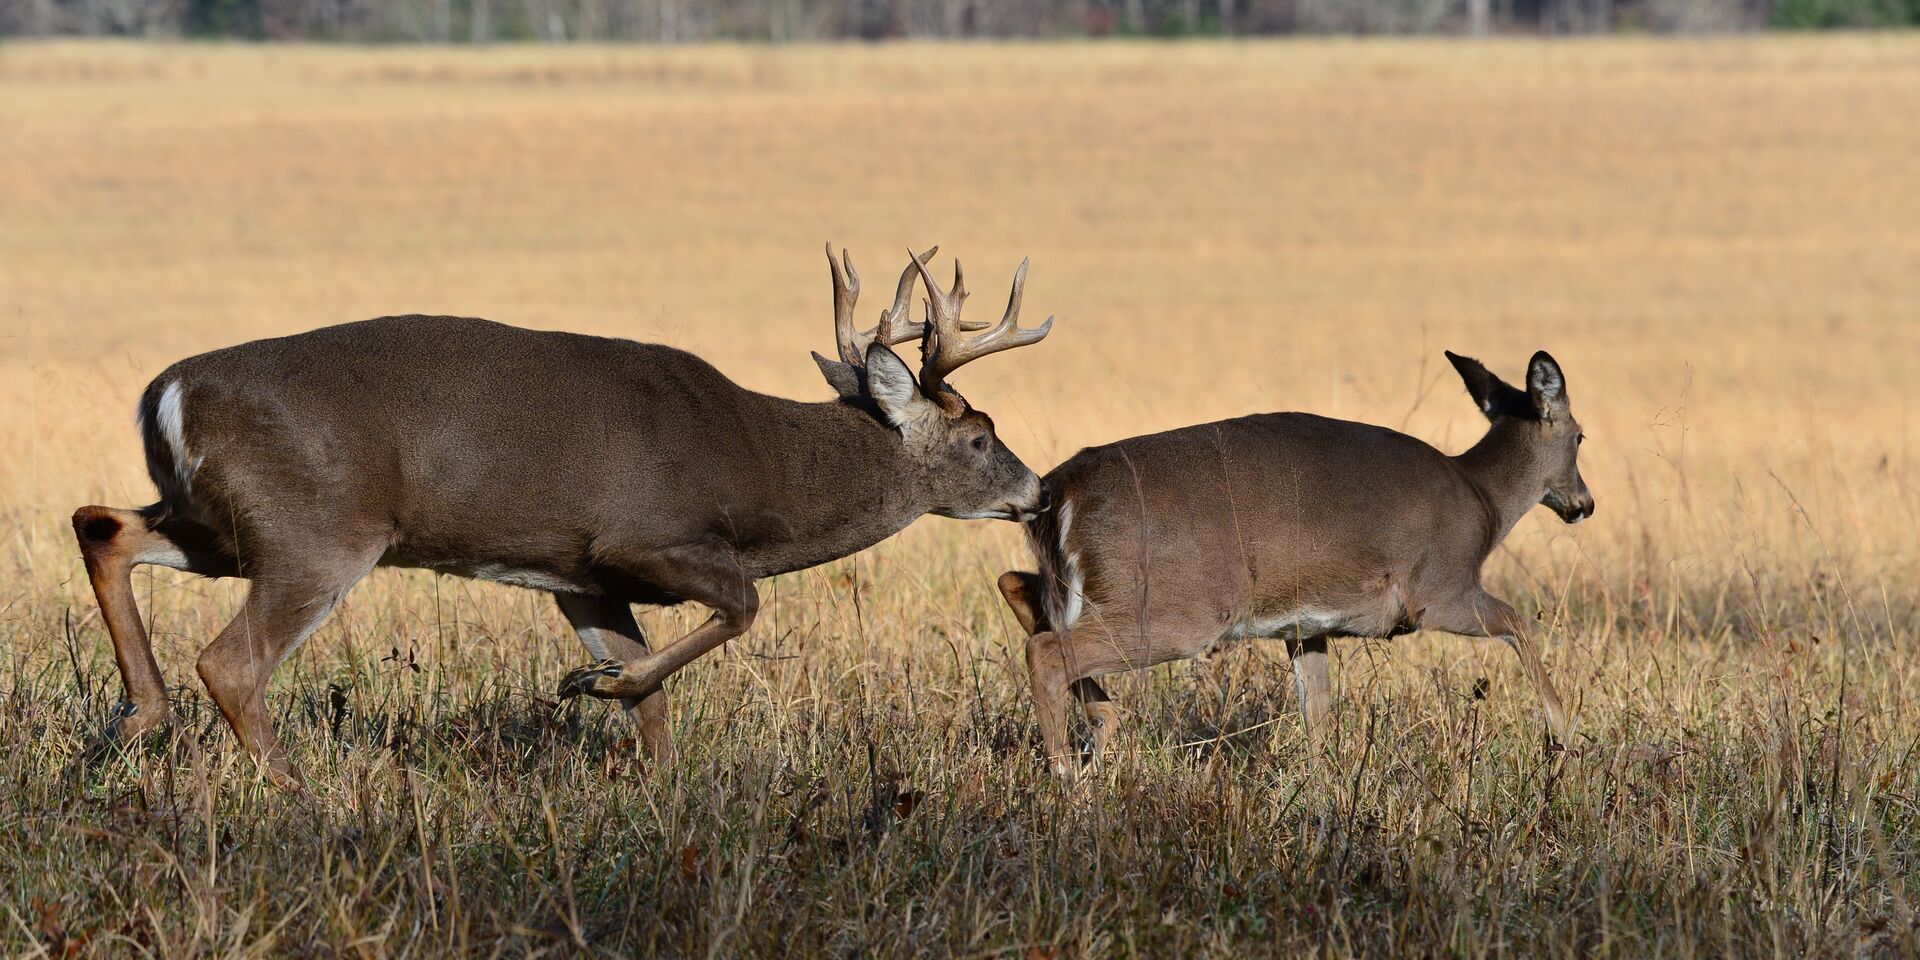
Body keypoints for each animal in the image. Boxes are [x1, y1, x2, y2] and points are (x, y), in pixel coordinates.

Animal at [71, 244, 1054, 789]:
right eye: (979, 436)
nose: (1037, 490)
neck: (760, 479)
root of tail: (167, 392)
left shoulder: (580, 574)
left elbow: (652, 693)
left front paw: (655, 774)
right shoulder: (649, 534)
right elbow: (743, 608)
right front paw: (593, 687)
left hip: (222, 525)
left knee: (103, 524)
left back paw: (134, 719)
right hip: (317, 531)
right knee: (229, 660)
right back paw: (293, 790)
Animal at [997, 351, 1591, 778]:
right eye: (1581, 436)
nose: (1583, 504)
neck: (1484, 501)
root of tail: (1059, 491)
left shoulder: (1307, 627)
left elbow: (1318, 720)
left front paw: (1324, 793)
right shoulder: (1440, 589)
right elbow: (1518, 621)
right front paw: (1560, 741)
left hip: (1084, 588)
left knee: (1018, 590)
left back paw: (1100, 732)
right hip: (1173, 609)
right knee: (1046, 651)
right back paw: (1067, 775)